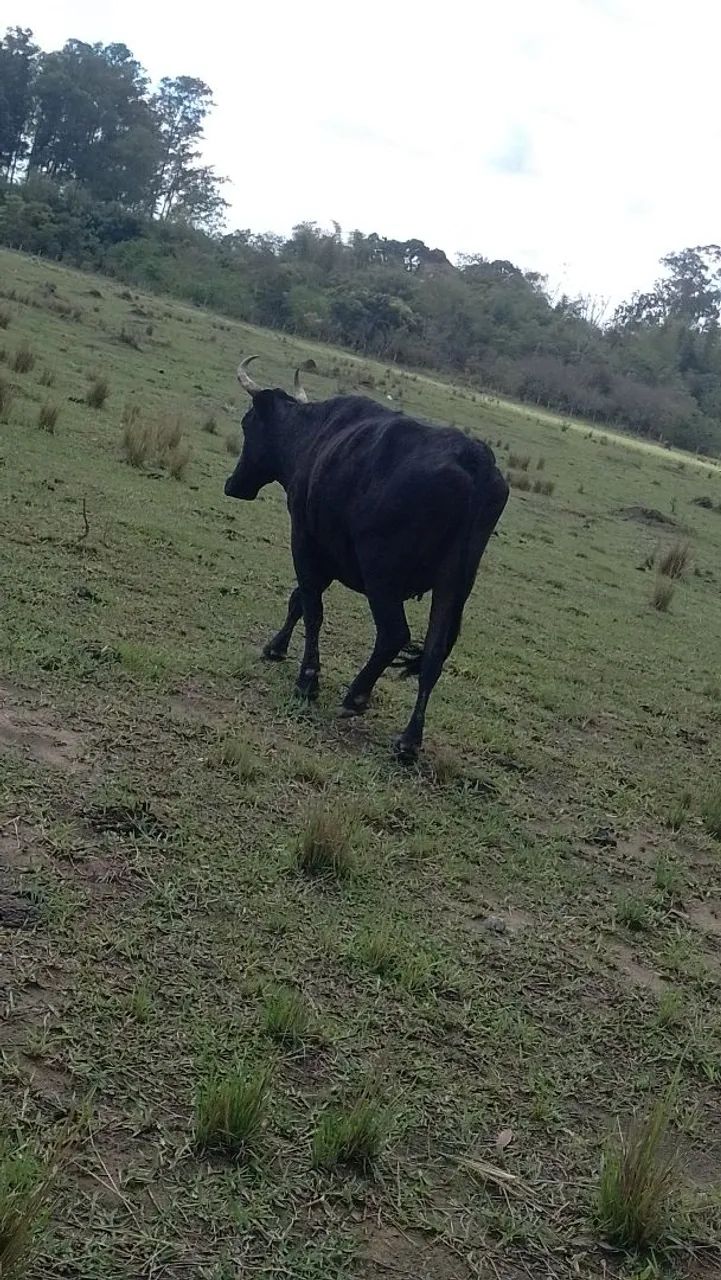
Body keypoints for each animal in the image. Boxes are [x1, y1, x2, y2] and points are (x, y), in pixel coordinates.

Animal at [224, 357, 509, 761]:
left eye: (248, 423)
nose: (233, 485)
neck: (313, 435)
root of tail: (476, 462)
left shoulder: (305, 542)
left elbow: (311, 607)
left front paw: (307, 680)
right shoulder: (326, 553)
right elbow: (299, 601)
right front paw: (276, 647)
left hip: (382, 575)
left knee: (393, 634)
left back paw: (356, 695)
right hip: (453, 586)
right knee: (434, 654)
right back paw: (409, 740)